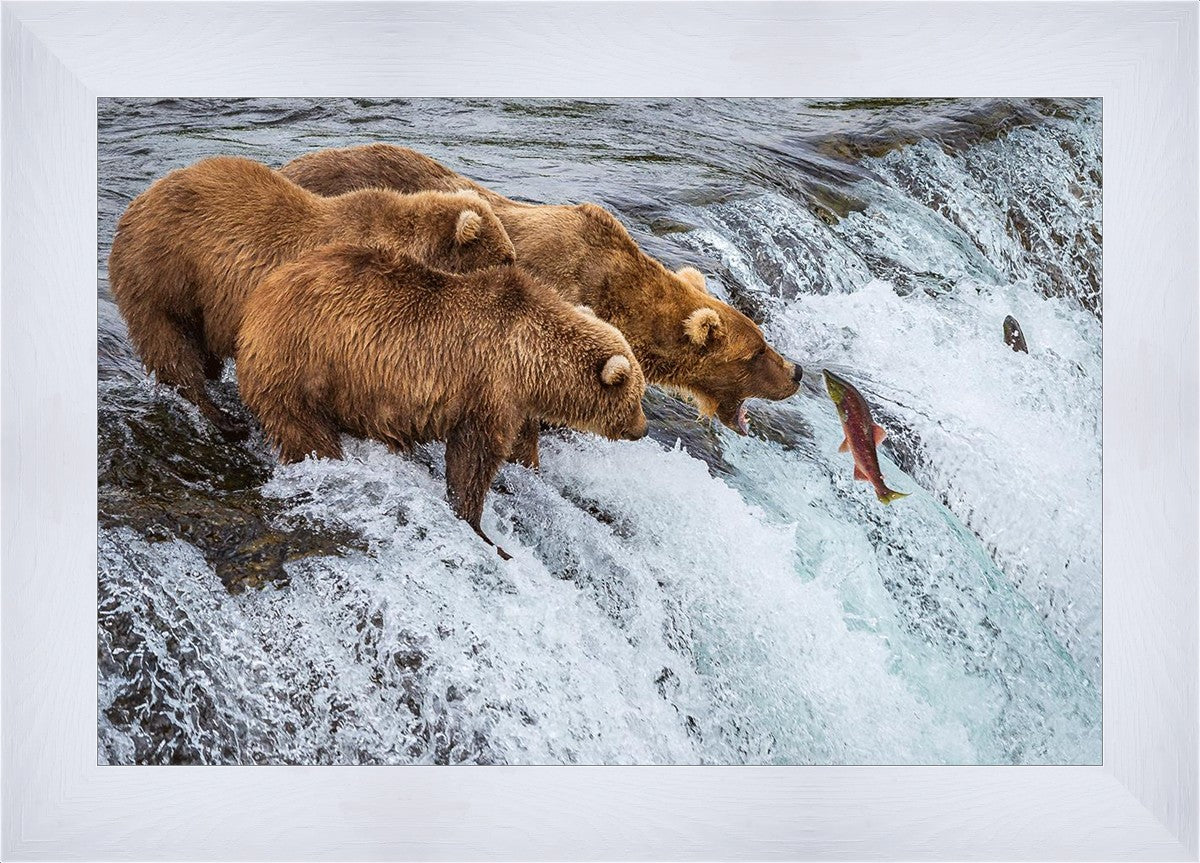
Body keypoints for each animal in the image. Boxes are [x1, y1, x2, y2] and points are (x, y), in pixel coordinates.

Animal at [107, 155, 516, 440]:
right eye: (506, 257)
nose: (518, 273)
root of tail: (136, 203)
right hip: (164, 273)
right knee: (171, 347)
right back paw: (222, 418)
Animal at [236, 241, 648, 559]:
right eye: (636, 397)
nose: (643, 429)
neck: (531, 360)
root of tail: (258, 299)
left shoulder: (515, 402)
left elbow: (519, 446)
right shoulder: (488, 386)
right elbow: (473, 458)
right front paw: (482, 530)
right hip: (303, 363)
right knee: (305, 430)